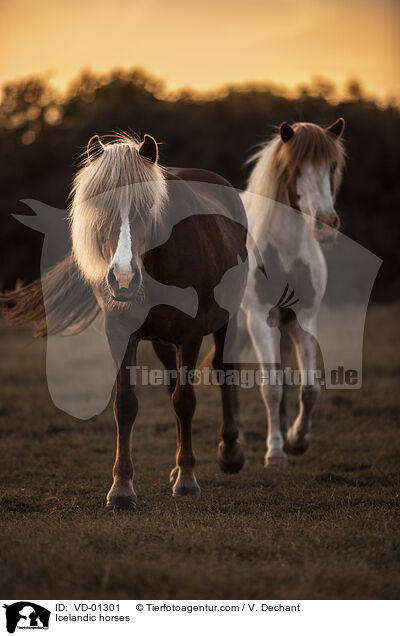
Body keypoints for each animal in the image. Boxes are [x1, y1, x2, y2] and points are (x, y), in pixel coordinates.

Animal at [1, 132, 248, 510]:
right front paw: (122, 487)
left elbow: (185, 402)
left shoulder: (191, 333)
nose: (123, 279)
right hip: (163, 341)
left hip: (225, 320)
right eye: (101, 209)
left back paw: (229, 453)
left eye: (146, 209)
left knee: (223, 370)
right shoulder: (121, 333)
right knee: (173, 384)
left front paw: (188, 479)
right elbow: (126, 405)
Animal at [241, 118, 346, 468]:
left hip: (284, 327)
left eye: (332, 166)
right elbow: (271, 388)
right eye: (296, 167)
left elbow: (308, 388)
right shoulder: (259, 320)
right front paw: (274, 451)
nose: (326, 223)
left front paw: (296, 440)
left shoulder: (304, 319)